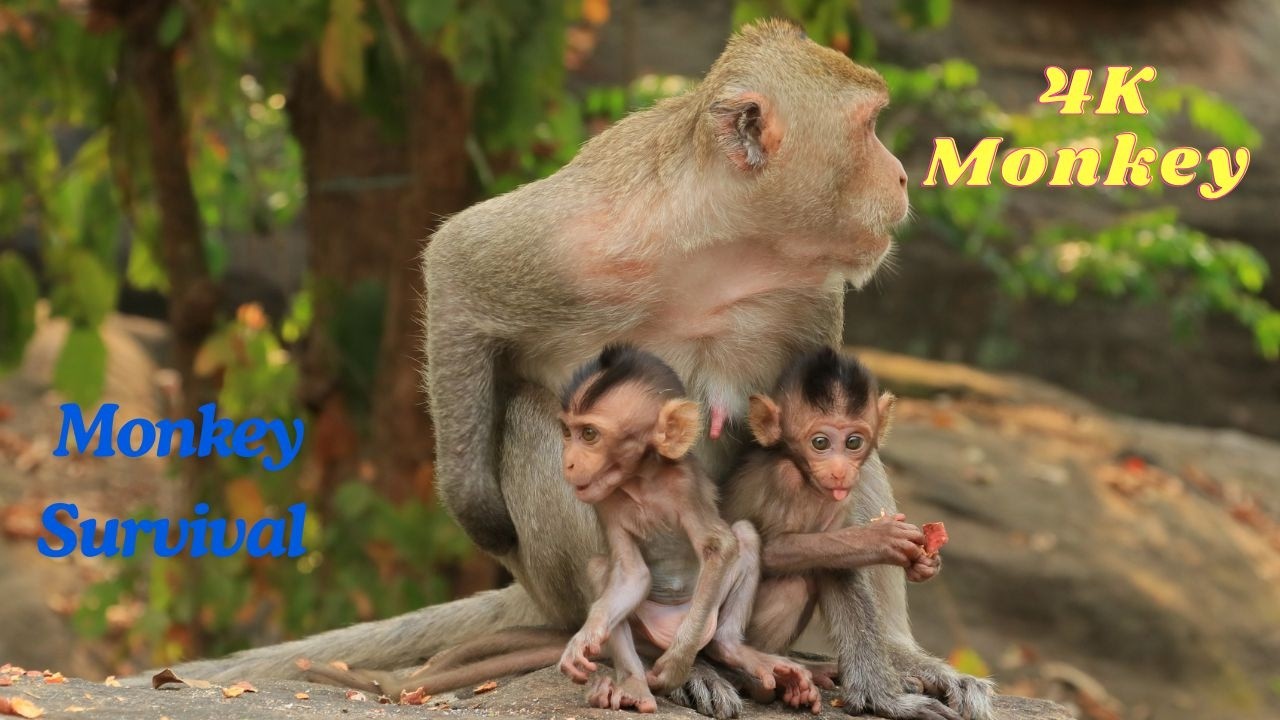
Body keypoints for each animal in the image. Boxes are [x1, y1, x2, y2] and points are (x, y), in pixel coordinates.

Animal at [557, 345, 819, 713]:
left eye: (590, 435)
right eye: (568, 432)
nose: (567, 461)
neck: (643, 483)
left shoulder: (685, 487)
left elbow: (721, 547)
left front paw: (677, 663)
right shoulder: (605, 500)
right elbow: (632, 574)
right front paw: (585, 638)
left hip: (707, 613)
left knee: (744, 535)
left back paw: (730, 649)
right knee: (599, 568)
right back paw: (634, 685)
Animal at [722, 347, 993, 720]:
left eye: (853, 442)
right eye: (820, 442)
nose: (839, 471)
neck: (802, 473)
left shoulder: (840, 496)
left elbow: (837, 560)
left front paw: (925, 562)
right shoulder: (785, 481)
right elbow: (772, 549)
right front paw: (877, 539)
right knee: (794, 584)